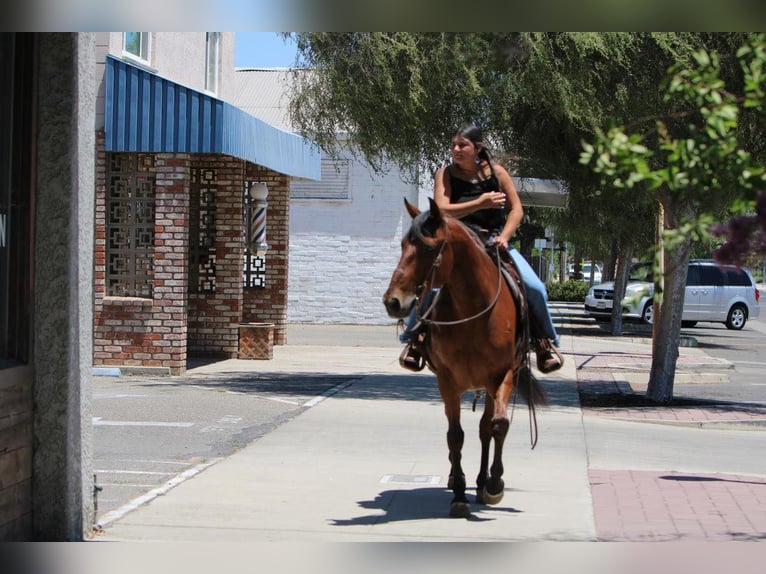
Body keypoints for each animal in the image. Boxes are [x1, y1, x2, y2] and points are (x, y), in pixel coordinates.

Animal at [382, 197, 544, 516]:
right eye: (403, 244)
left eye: (428, 248)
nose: (392, 302)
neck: (475, 311)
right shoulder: (447, 382)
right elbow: (454, 435)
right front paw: (458, 493)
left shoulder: (502, 375)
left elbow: (498, 426)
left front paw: (494, 485)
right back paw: (458, 479)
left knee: (485, 429)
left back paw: (482, 483)